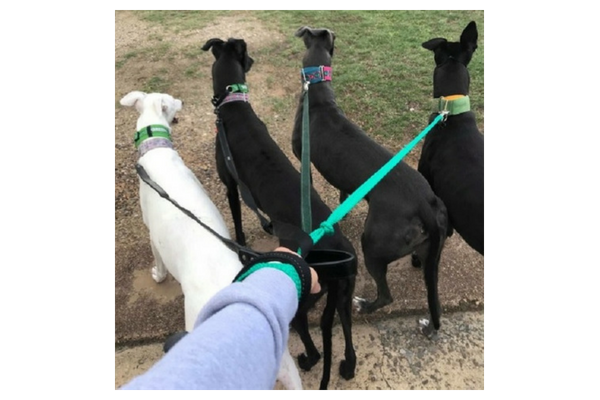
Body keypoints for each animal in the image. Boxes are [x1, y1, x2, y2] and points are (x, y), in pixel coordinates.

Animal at [119, 91, 302, 390]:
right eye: (173, 100)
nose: (182, 101)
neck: (156, 148)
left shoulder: (152, 233)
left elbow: (158, 261)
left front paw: (158, 275)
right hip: (282, 356)